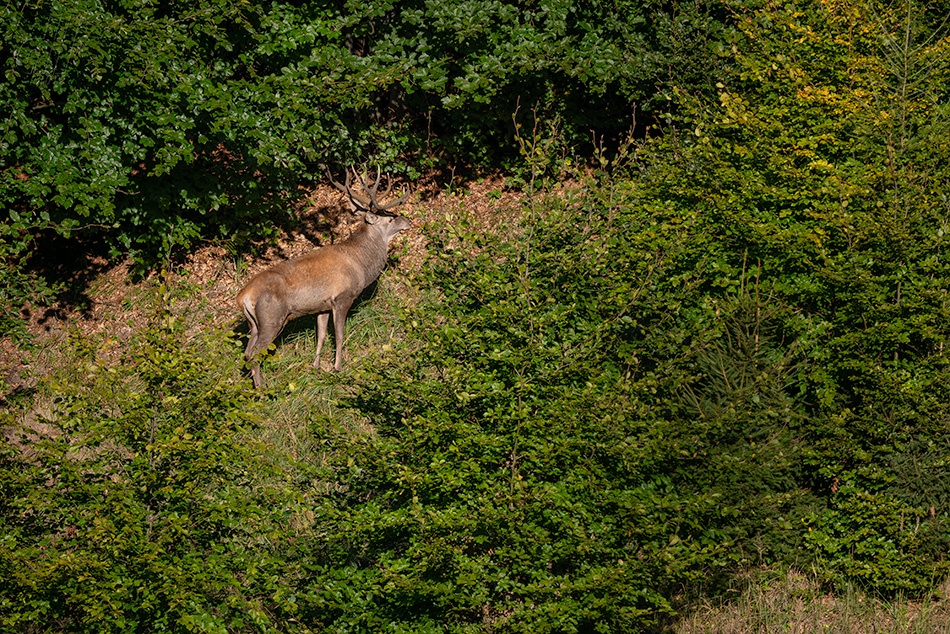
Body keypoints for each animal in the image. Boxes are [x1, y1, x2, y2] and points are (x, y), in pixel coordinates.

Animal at [236, 165, 410, 388]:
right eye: (389, 218)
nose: (407, 221)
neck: (360, 262)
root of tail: (243, 297)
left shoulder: (322, 306)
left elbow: (321, 336)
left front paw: (316, 367)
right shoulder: (342, 297)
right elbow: (339, 335)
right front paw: (338, 368)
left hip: (254, 324)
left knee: (247, 352)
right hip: (272, 318)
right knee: (256, 353)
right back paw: (261, 388)